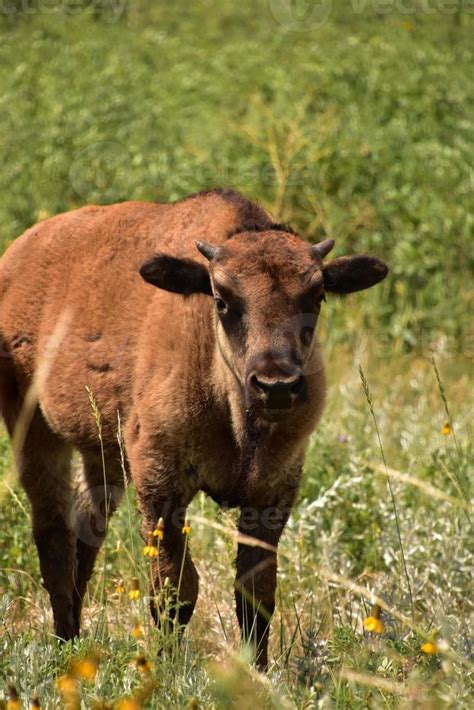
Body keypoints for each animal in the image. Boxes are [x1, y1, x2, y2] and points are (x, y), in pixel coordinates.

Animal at [0, 188, 386, 668]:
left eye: (316, 296)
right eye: (221, 299)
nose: (276, 386)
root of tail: (17, 255)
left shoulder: (272, 493)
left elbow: (255, 595)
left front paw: (258, 672)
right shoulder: (160, 485)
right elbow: (175, 590)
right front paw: (167, 670)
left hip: (101, 453)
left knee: (85, 530)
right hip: (34, 430)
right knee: (52, 534)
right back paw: (63, 645)